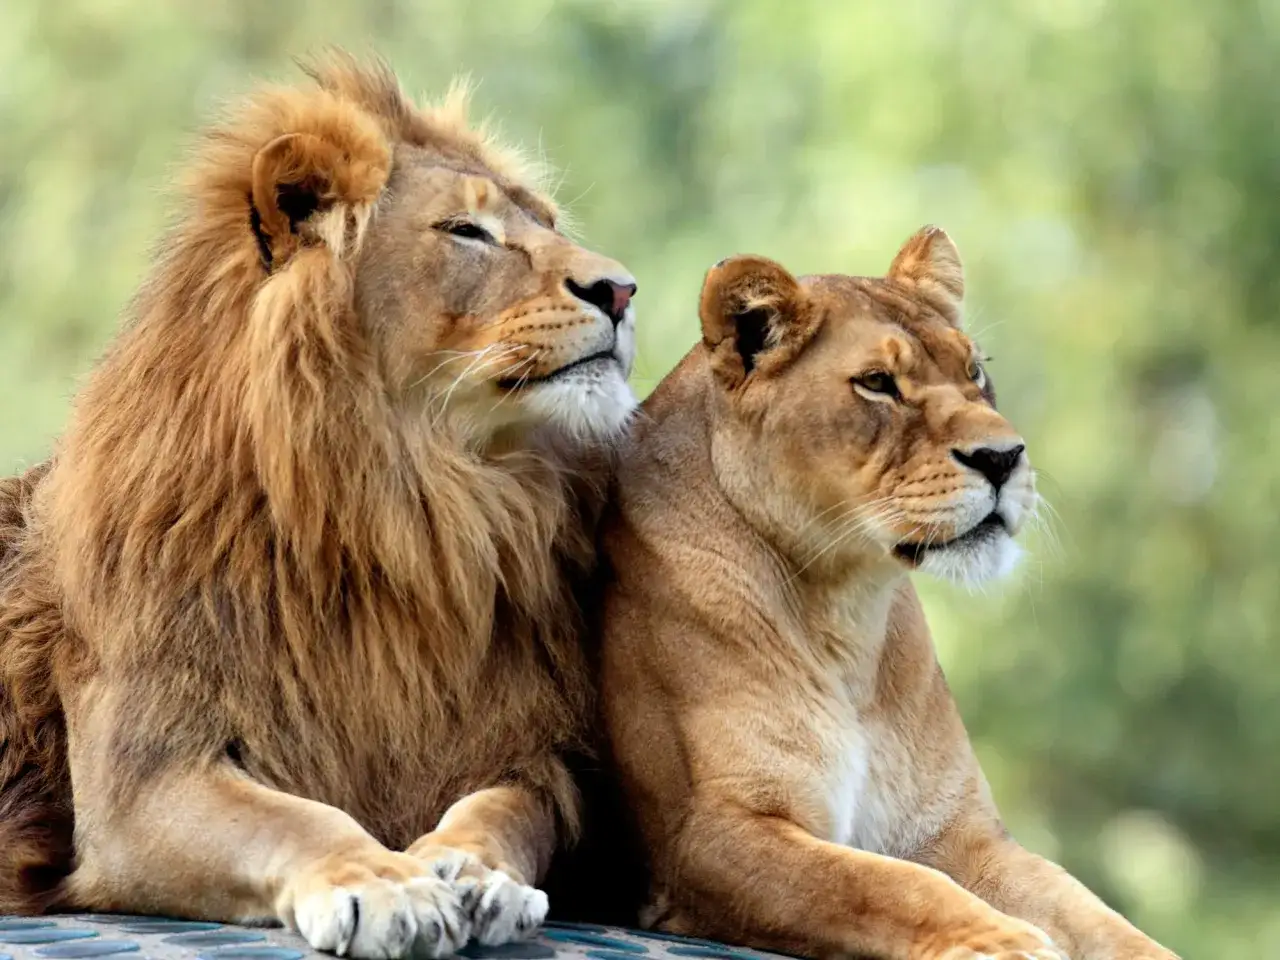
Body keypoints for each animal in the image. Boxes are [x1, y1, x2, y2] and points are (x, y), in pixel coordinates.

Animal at [0, 54, 639, 959]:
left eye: (546, 221)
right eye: (466, 232)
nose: (621, 290)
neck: (410, 505)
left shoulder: (531, 754)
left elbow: (503, 812)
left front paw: (473, 871)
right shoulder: (140, 779)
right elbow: (296, 820)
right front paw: (384, 885)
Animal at [596, 228, 1179, 959]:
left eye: (974, 372)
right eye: (878, 384)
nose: (1003, 457)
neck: (846, 611)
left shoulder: (956, 830)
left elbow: (1089, 910)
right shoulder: (708, 835)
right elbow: (887, 885)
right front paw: (1007, 942)